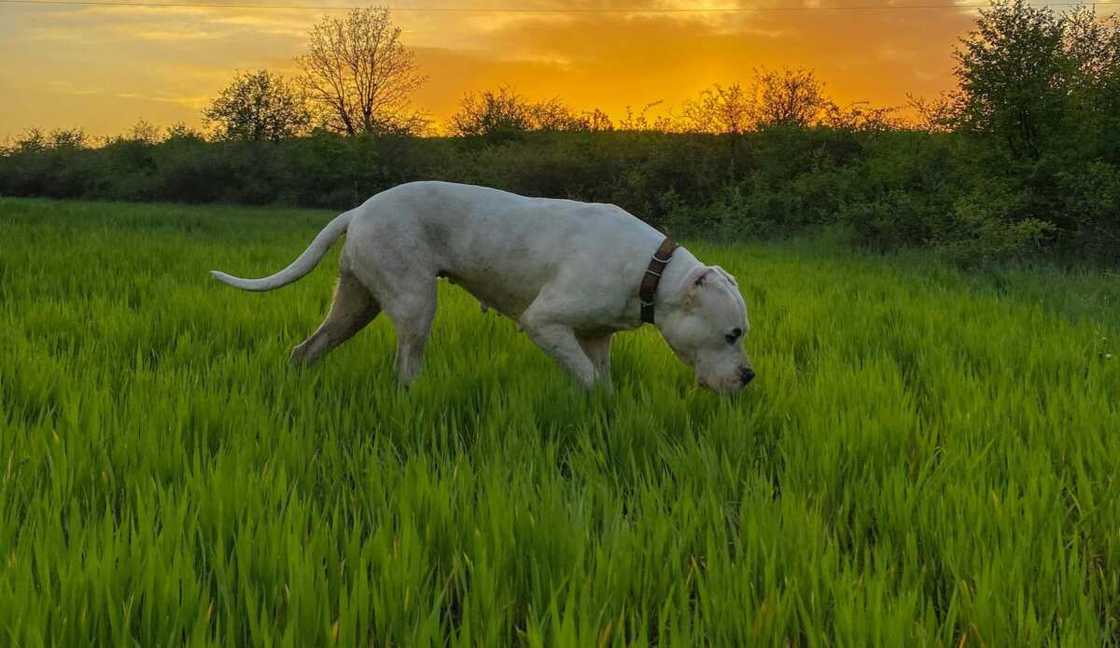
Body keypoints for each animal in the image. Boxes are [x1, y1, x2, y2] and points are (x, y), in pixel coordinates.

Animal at [210, 183, 757, 396]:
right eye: (732, 334)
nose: (750, 376)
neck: (652, 271)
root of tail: (359, 209)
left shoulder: (596, 336)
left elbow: (600, 378)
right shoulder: (544, 323)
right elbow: (584, 377)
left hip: (355, 303)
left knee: (308, 348)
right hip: (414, 303)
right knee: (406, 365)